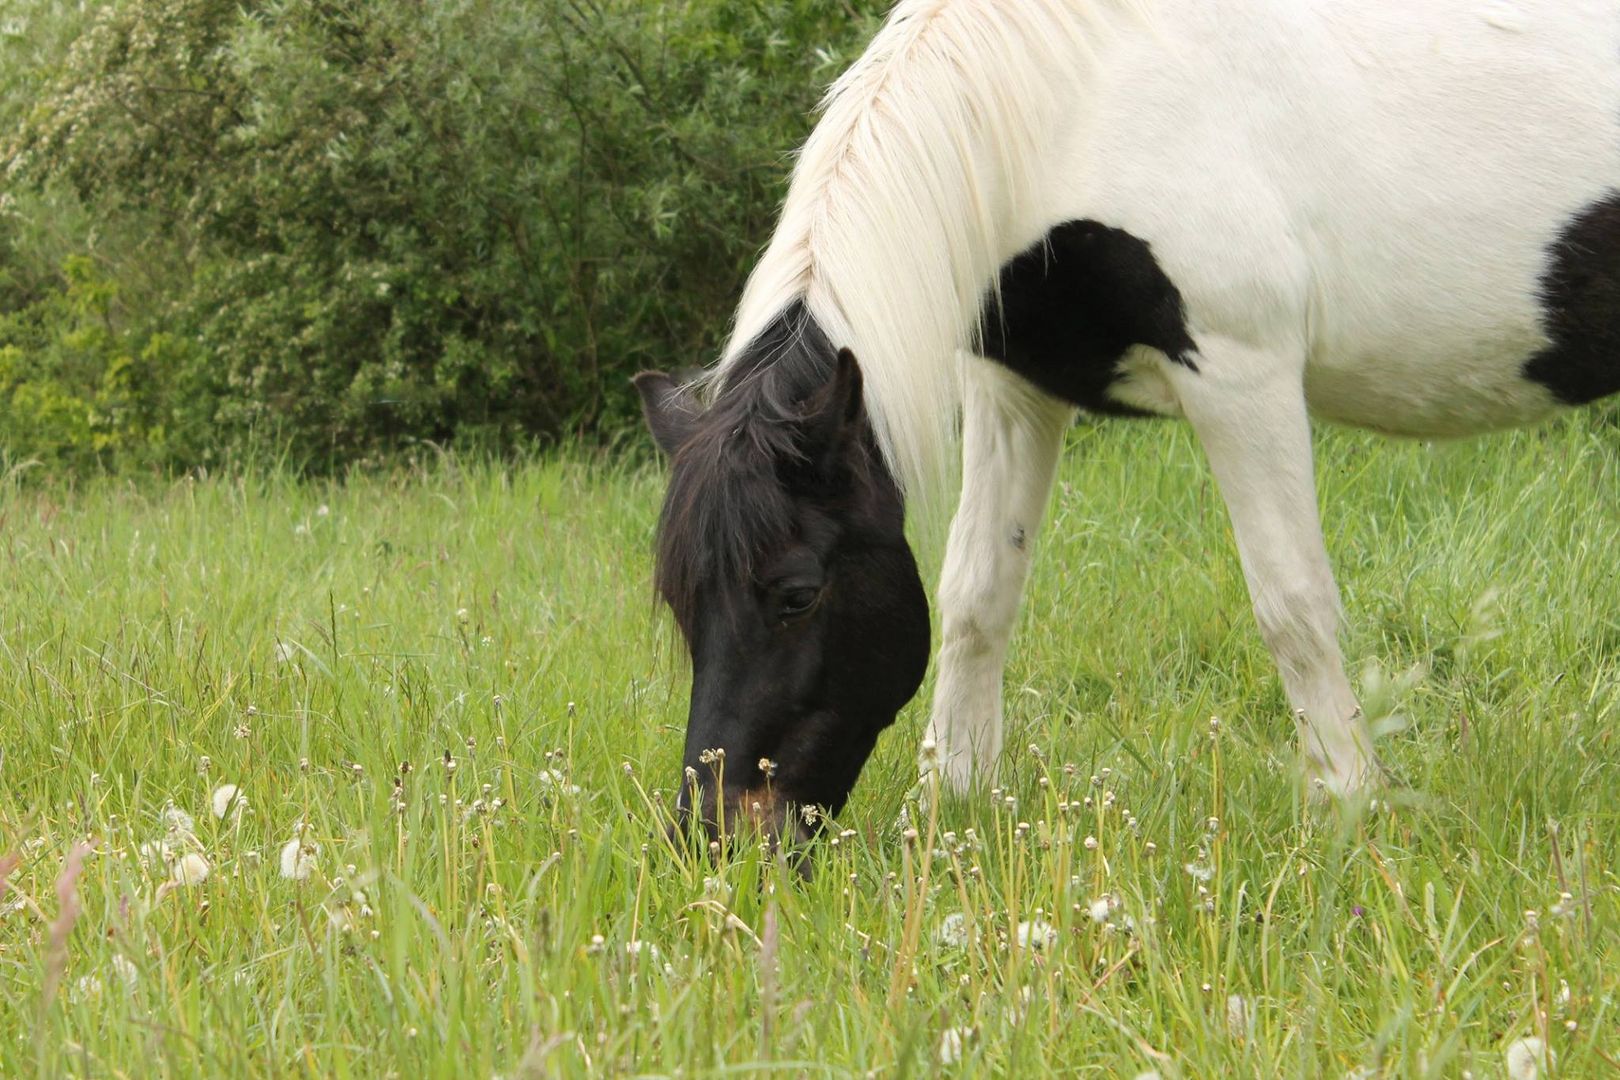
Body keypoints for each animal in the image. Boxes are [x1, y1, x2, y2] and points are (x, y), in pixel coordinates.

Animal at [631, 0, 1620, 841]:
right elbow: (976, 596)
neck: (1078, 102)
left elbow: (1292, 604)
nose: (716, 839)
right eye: (681, 602)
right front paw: (954, 801)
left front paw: (1349, 802)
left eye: (797, 594)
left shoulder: (1240, 377)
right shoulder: (1013, 388)